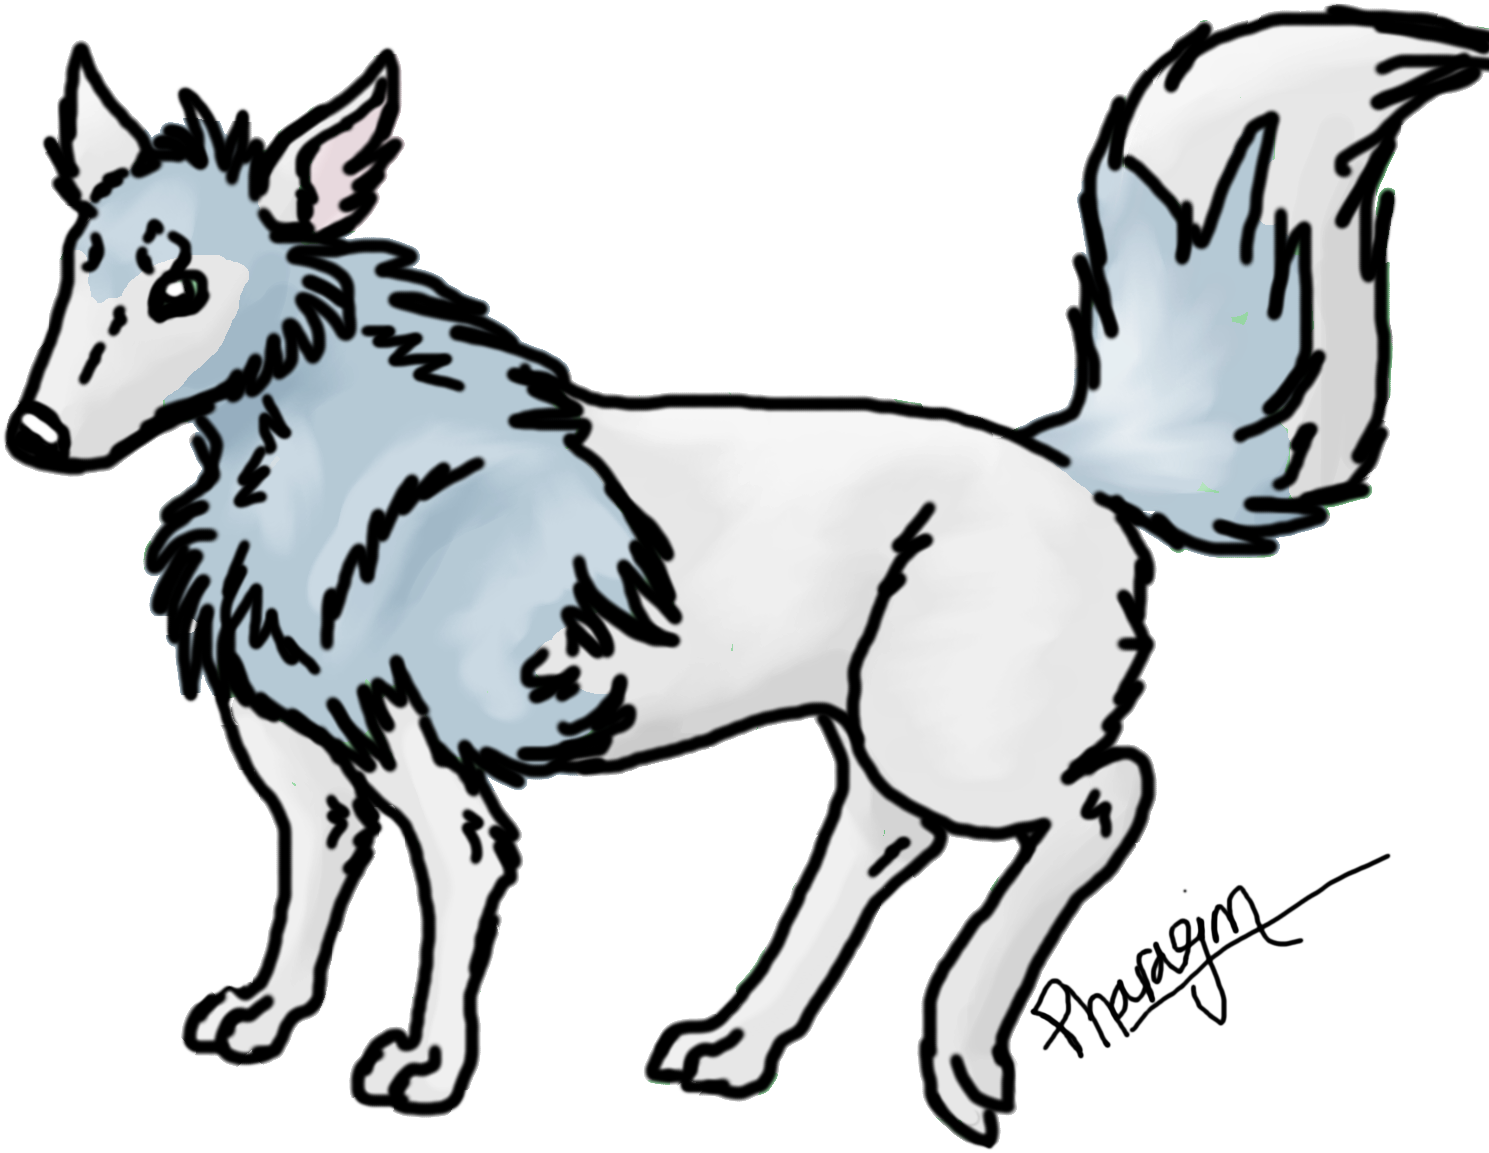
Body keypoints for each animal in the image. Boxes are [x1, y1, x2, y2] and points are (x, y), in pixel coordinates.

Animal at [6, 11, 1483, 1148]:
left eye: (184, 290)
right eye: (83, 265)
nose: (35, 436)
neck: (335, 470)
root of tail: (1074, 464)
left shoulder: (435, 770)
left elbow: (452, 890)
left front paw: (426, 1068)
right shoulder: (302, 763)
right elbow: (308, 892)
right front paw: (263, 1018)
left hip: (960, 742)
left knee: (1103, 800)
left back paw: (959, 1053)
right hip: (889, 736)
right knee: (871, 852)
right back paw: (740, 1046)